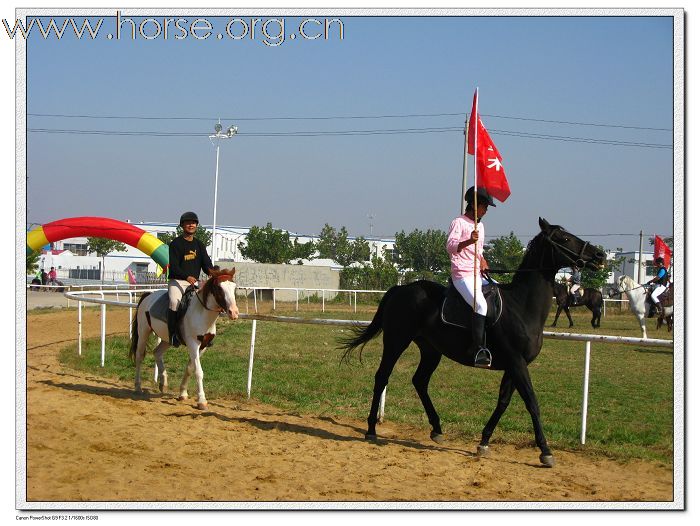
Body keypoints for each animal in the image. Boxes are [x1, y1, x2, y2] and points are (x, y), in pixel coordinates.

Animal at [130, 268, 239, 412]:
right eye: (219, 288)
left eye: (234, 287)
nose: (234, 312)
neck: (201, 313)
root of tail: (148, 295)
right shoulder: (193, 344)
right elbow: (198, 372)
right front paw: (202, 401)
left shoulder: (203, 346)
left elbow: (190, 368)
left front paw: (182, 393)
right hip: (143, 333)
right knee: (139, 357)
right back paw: (138, 387)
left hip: (167, 339)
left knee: (157, 352)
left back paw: (163, 383)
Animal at [340, 220, 608, 470]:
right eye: (564, 238)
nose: (600, 255)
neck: (522, 306)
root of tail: (400, 289)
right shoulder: (517, 363)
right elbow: (532, 403)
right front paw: (545, 451)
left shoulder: (514, 366)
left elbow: (503, 402)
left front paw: (484, 442)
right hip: (396, 342)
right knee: (382, 377)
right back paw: (371, 429)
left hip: (431, 350)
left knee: (420, 381)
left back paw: (437, 429)